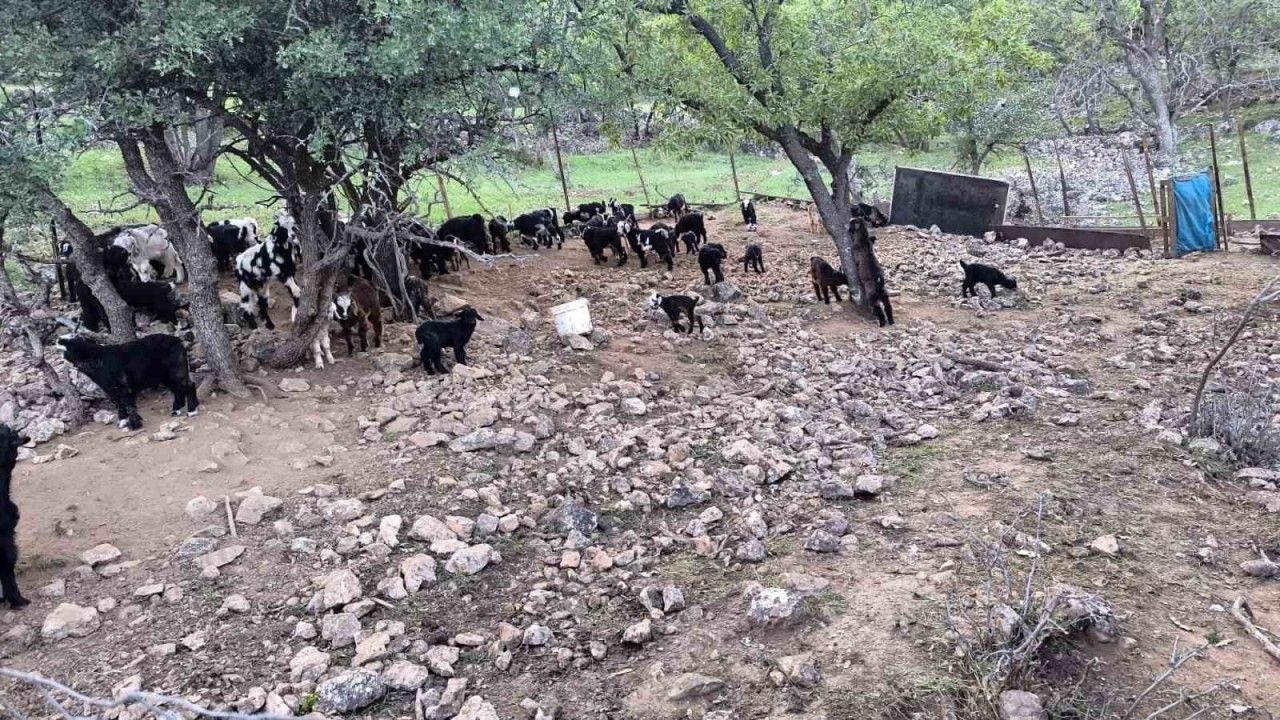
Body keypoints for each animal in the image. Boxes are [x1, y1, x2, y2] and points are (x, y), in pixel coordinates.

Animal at [57, 334, 199, 430]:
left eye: (66, 347)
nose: (59, 340)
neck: (96, 358)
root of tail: (178, 341)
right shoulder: (110, 390)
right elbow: (119, 404)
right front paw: (123, 421)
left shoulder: (123, 387)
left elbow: (128, 405)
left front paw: (134, 424)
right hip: (166, 376)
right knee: (178, 390)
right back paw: (176, 410)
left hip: (176, 370)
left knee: (189, 386)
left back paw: (192, 411)